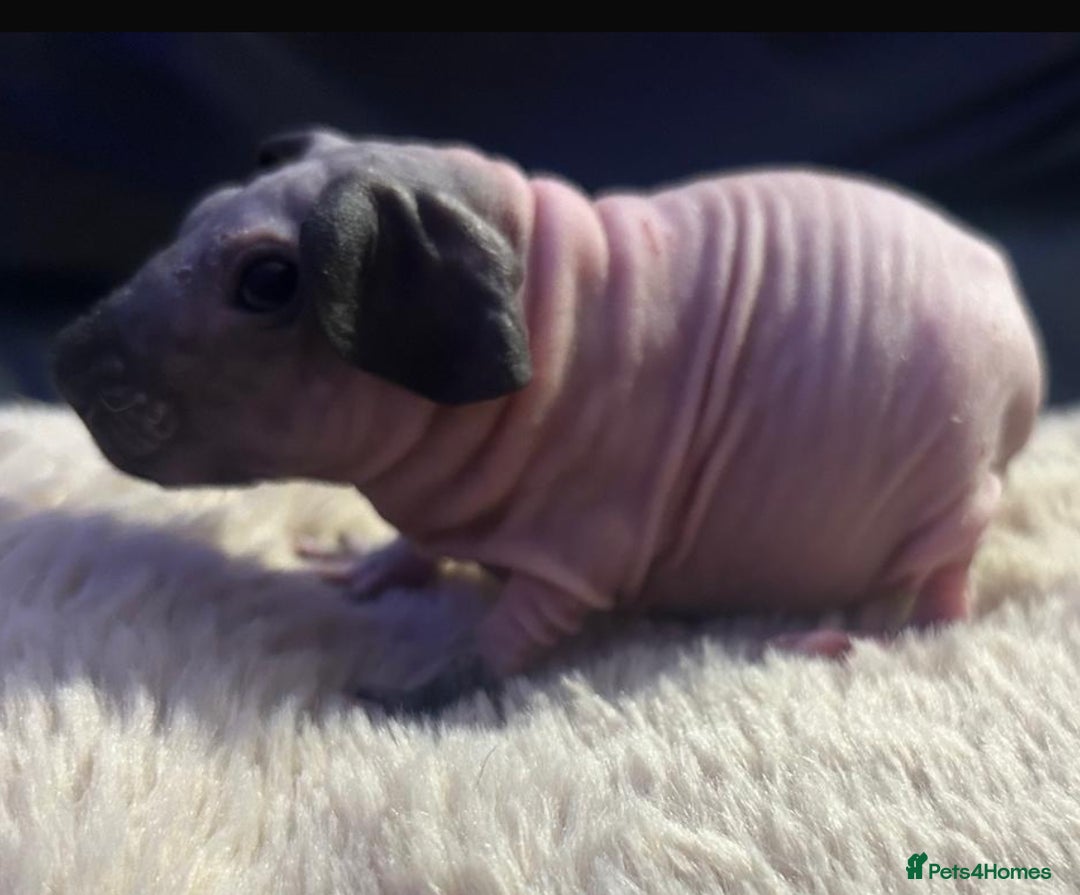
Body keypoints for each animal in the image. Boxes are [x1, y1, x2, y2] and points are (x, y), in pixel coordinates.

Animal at [51, 129, 1044, 708]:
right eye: (199, 212)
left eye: (265, 281)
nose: (66, 361)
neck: (535, 279)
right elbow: (415, 543)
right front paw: (369, 565)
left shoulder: (575, 547)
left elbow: (503, 640)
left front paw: (405, 692)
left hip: (947, 500)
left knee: (937, 605)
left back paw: (849, 634)